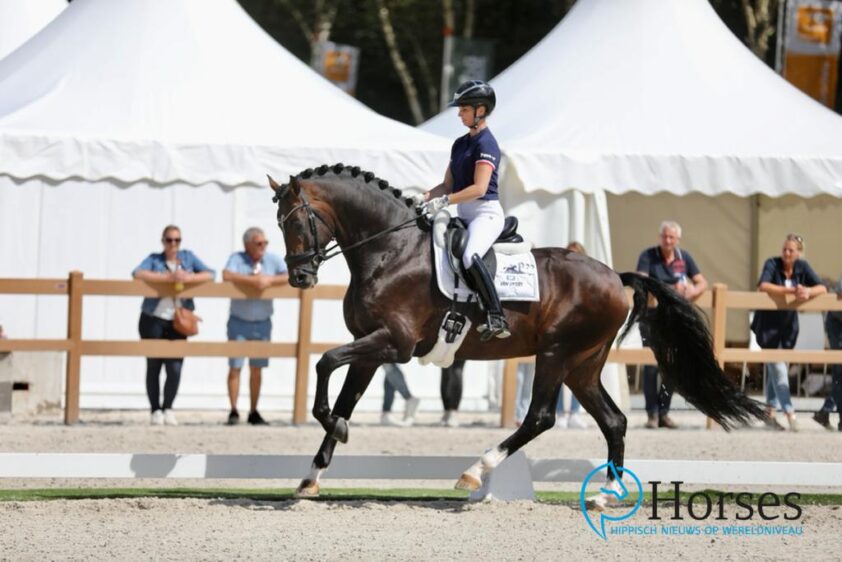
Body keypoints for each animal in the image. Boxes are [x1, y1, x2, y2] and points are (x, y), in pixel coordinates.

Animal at [266, 163, 764, 504]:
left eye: (297, 221)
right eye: (279, 224)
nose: (300, 277)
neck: (391, 250)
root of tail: (615, 276)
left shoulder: (395, 344)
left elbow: (325, 362)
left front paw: (335, 432)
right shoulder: (371, 349)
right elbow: (342, 396)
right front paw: (312, 476)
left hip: (557, 354)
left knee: (540, 417)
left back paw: (476, 471)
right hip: (582, 365)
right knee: (614, 421)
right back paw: (606, 494)